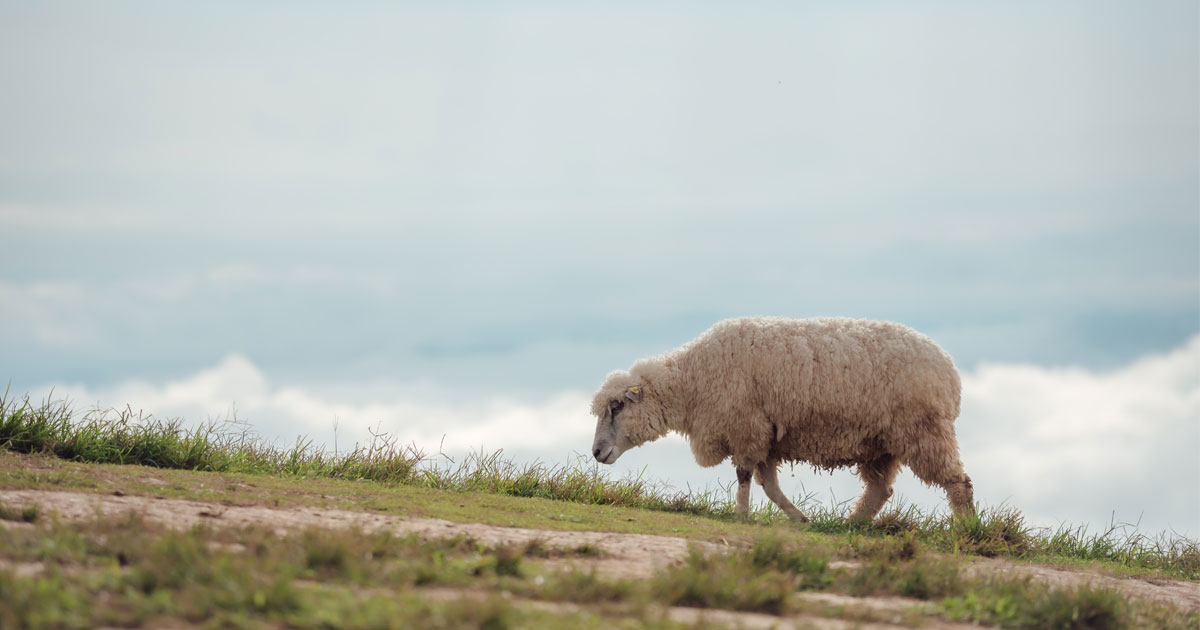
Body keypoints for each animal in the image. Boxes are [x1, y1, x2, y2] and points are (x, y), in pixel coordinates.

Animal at [590, 314, 974, 520]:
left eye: (617, 406)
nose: (595, 453)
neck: (693, 380)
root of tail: (950, 371)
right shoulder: (766, 436)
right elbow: (770, 486)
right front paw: (799, 518)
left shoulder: (746, 428)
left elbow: (744, 475)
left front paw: (740, 514)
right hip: (882, 445)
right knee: (879, 490)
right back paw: (851, 524)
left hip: (925, 432)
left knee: (958, 483)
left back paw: (967, 529)